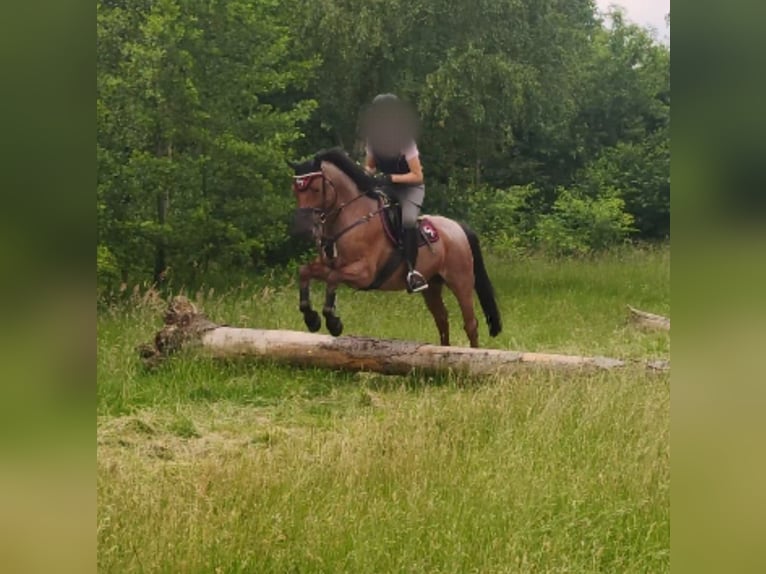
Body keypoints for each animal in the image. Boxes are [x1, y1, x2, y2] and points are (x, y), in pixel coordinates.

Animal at [290, 147, 504, 352]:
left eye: (316, 189)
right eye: (296, 191)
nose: (302, 228)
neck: (352, 218)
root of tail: (458, 227)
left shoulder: (364, 274)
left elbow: (333, 278)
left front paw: (333, 323)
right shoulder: (329, 265)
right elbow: (305, 271)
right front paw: (311, 319)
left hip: (461, 281)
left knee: (470, 324)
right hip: (432, 284)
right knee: (442, 319)